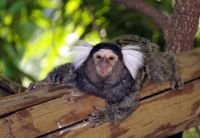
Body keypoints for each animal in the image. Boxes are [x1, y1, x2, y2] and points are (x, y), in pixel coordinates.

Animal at [28, 35, 183, 126]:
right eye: (98, 57)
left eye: (111, 58)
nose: (103, 64)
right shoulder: (80, 72)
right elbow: (62, 74)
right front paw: (43, 83)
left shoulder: (129, 82)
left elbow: (126, 105)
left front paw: (105, 116)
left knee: (162, 69)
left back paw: (174, 72)